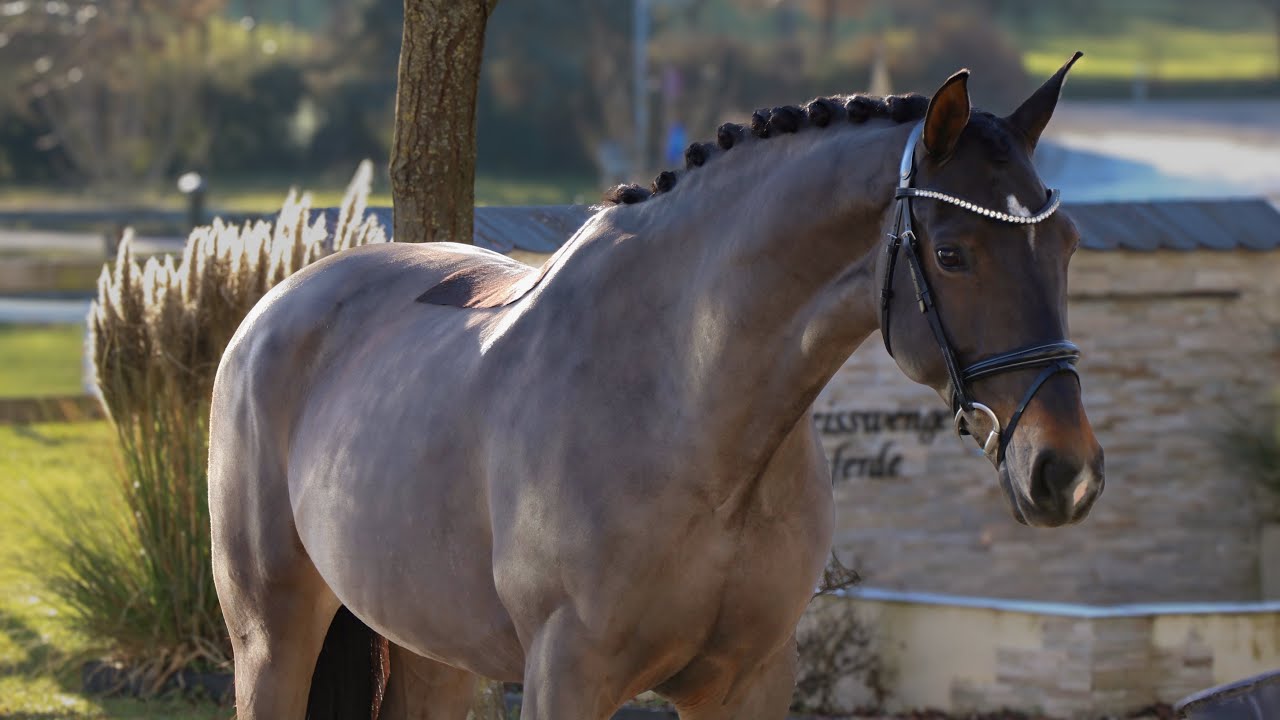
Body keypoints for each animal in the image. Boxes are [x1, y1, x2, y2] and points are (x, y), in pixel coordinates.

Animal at [208, 53, 1104, 720]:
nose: (1066, 471)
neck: (687, 412)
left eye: (1065, 242)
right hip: (271, 637)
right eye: (952, 254)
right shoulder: (567, 678)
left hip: (433, 651)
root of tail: (274, 308)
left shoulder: (748, 682)